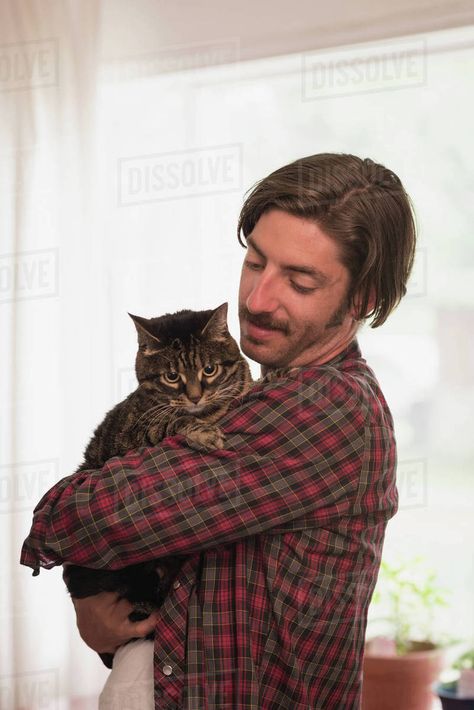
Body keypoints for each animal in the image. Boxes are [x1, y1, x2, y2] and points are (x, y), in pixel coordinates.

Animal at [65, 304, 254, 668]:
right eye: (171, 377)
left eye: (209, 369)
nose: (194, 397)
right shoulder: (136, 434)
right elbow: (173, 420)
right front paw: (201, 428)